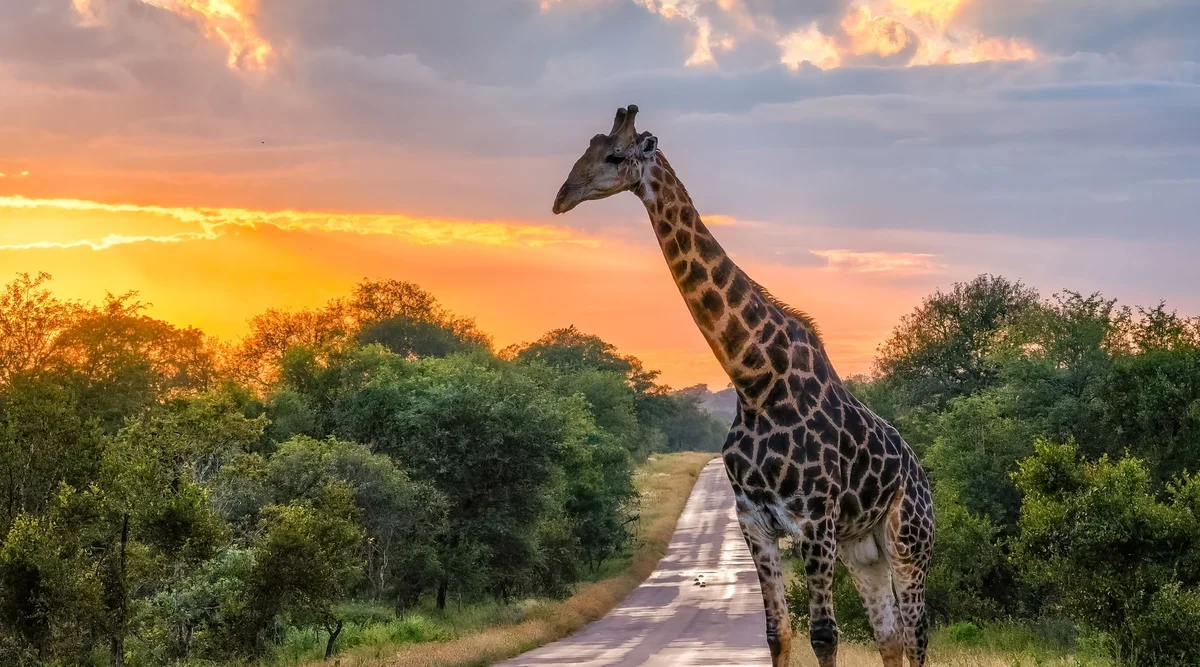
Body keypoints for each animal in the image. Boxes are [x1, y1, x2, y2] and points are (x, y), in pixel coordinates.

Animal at [552, 106, 935, 667]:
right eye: (586, 148)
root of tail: (925, 478)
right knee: (888, 635)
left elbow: (825, 635)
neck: (755, 380)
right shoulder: (753, 521)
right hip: (863, 548)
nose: (562, 196)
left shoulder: (814, 520)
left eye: (616, 156)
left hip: (908, 539)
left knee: (915, 633)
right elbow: (777, 633)